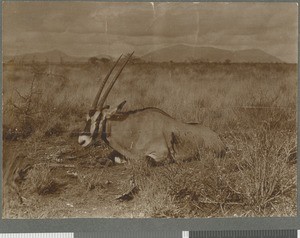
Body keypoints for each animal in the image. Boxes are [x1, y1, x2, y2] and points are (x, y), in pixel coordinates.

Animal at [78, 51, 226, 164]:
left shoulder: (160, 153)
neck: (133, 129)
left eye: (99, 118)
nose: (81, 141)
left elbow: (143, 159)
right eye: (87, 118)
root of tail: (217, 138)